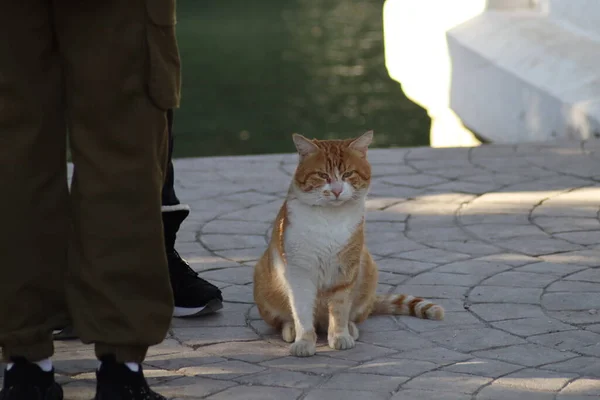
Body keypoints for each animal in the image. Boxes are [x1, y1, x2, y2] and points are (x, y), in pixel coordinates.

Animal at [251, 130, 442, 356]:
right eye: (323, 175)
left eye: (348, 174)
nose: (336, 190)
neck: (330, 219)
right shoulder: (300, 273)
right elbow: (302, 312)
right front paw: (304, 341)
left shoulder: (345, 271)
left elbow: (340, 310)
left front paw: (340, 336)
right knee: (285, 319)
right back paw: (290, 329)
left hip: (367, 268)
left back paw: (350, 328)